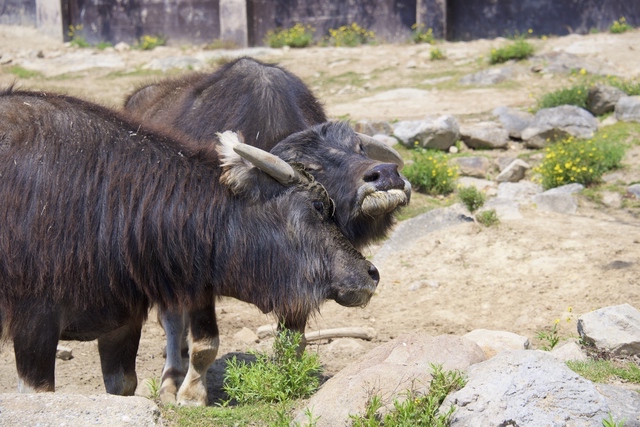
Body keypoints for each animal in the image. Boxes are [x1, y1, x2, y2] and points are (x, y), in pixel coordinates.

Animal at [0, 89, 380, 398]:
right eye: (317, 205)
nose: (370, 273)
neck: (107, 199)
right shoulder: (34, 325)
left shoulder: (122, 322)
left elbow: (123, 385)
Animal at [126, 56, 410, 404]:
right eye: (311, 166)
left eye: (358, 147)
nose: (386, 174)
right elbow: (205, 343)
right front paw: (191, 395)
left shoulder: (304, 270)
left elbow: (293, 341)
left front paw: (285, 381)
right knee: (171, 320)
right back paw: (170, 380)